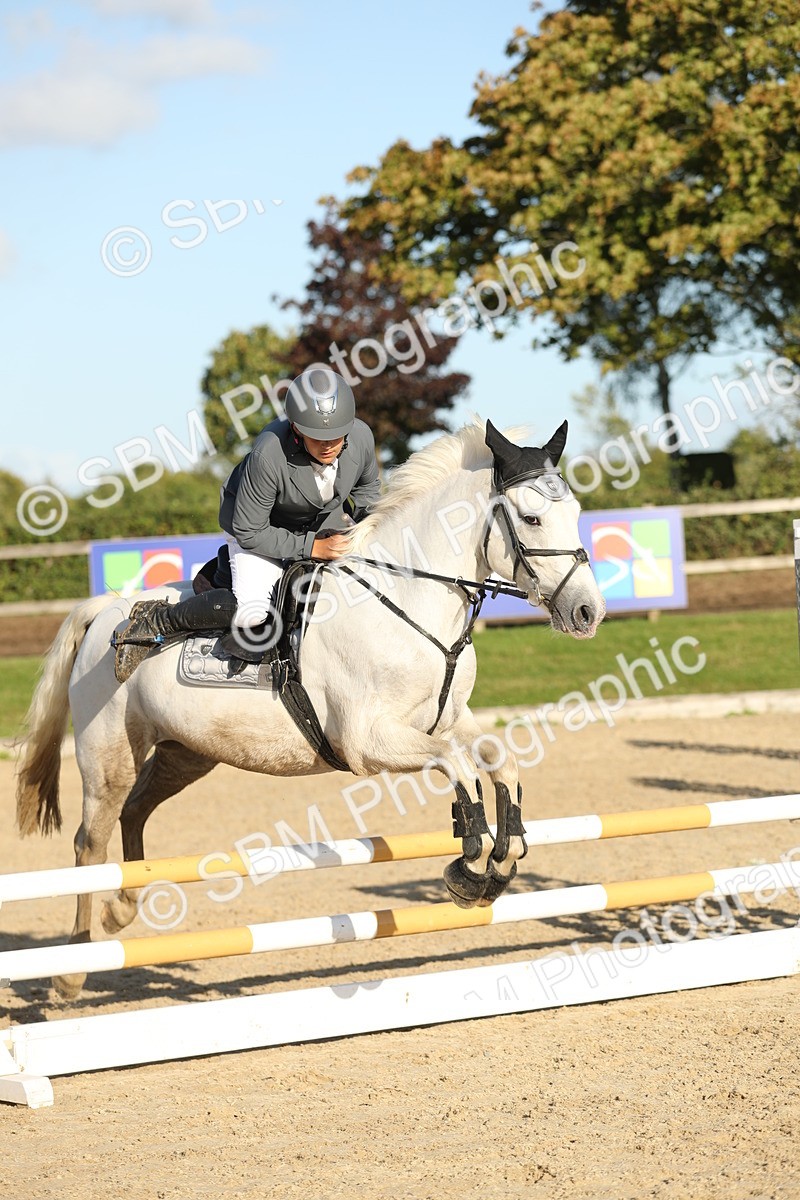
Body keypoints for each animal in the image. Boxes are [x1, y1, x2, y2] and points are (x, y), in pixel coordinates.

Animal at [15, 418, 605, 999]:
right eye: (531, 518)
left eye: (575, 513)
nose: (588, 612)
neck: (408, 600)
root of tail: (105, 610)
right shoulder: (370, 743)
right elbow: (458, 766)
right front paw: (470, 866)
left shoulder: (449, 719)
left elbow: (501, 762)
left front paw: (504, 858)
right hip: (110, 755)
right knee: (90, 844)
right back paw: (71, 973)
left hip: (187, 753)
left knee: (135, 812)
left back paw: (123, 910)